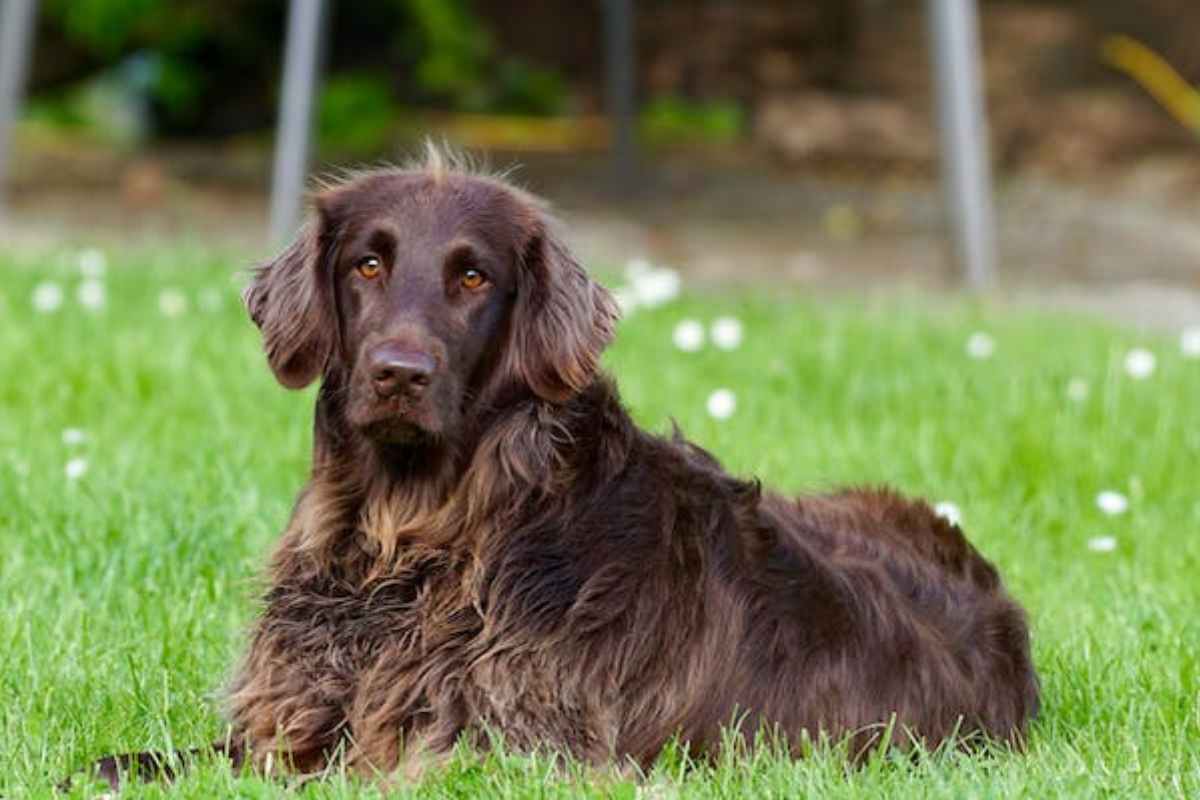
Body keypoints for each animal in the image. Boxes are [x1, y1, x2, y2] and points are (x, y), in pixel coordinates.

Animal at [79, 149, 1036, 786]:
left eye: (473, 278)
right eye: (368, 263)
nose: (399, 373)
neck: (419, 538)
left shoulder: (508, 751)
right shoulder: (293, 716)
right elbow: (147, 761)